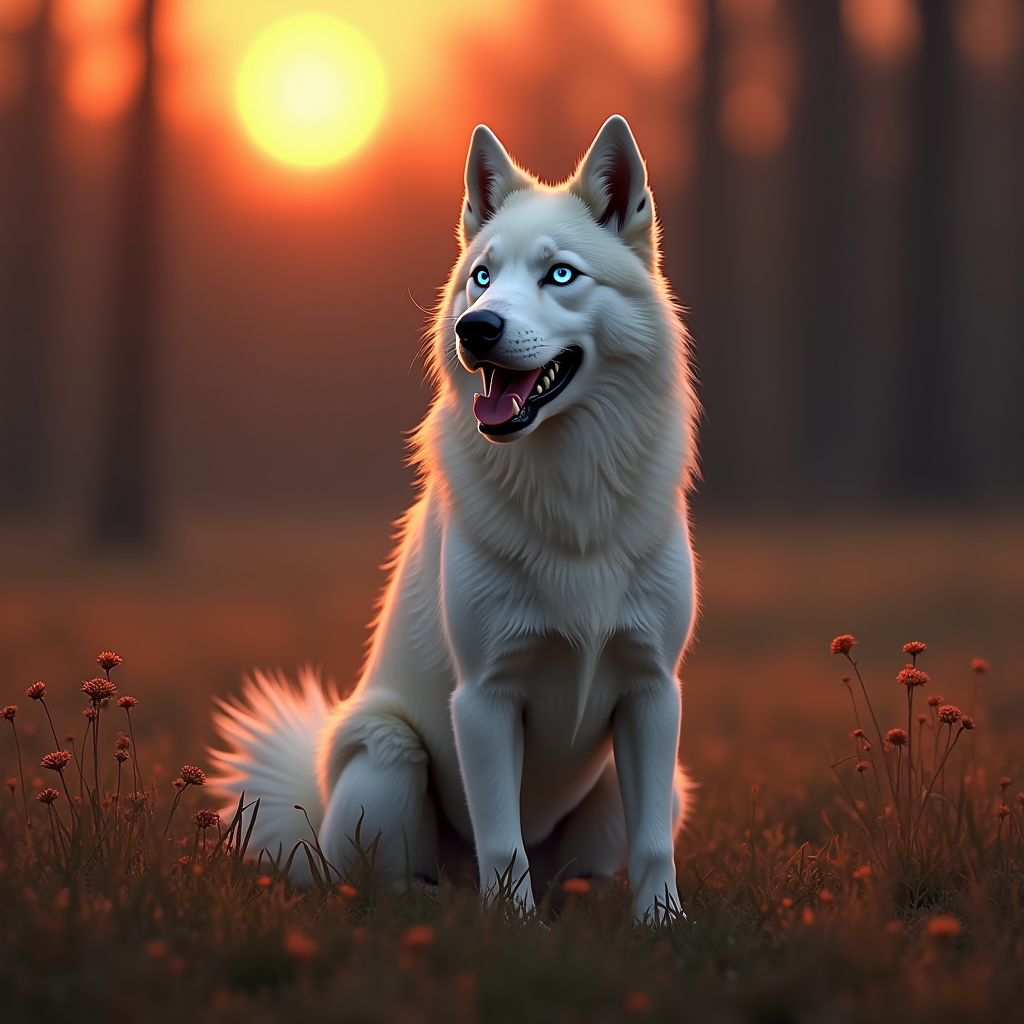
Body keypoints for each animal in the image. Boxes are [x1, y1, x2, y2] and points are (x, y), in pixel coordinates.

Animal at [211, 116, 700, 925]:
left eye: (560, 275)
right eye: (481, 276)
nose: (477, 328)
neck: (571, 490)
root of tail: (313, 809)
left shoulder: (652, 692)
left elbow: (654, 845)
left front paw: (663, 925)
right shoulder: (484, 699)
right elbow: (502, 842)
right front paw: (514, 930)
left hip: (631, 788)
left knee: (592, 865)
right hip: (388, 754)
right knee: (375, 877)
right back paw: (444, 906)